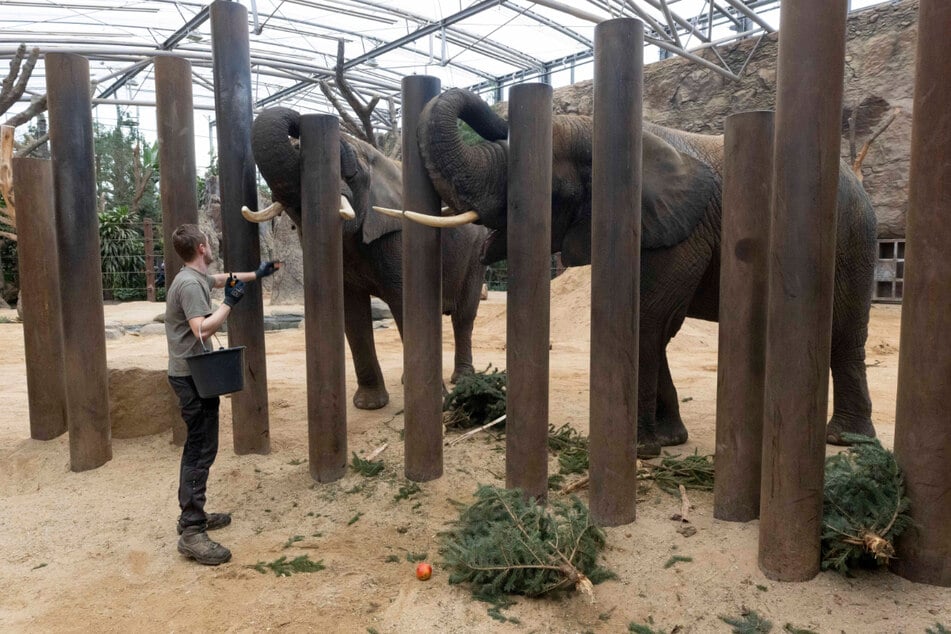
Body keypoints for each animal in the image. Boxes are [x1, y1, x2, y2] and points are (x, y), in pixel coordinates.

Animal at [245, 105, 488, 410]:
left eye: (349, 171)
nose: (299, 124)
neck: (378, 160)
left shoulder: (398, 234)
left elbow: (405, 303)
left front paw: (437, 401)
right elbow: (353, 312)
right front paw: (370, 405)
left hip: (476, 253)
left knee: (464, 316)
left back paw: (463, 379)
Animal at [416, 86, 876, 456]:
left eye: (549, 190)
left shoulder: (680, 232)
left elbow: (649, 320)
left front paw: (639, 449)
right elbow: (656, 324)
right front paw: (669, 440)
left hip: (852, 239)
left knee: (843, 336)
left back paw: (846, 441)